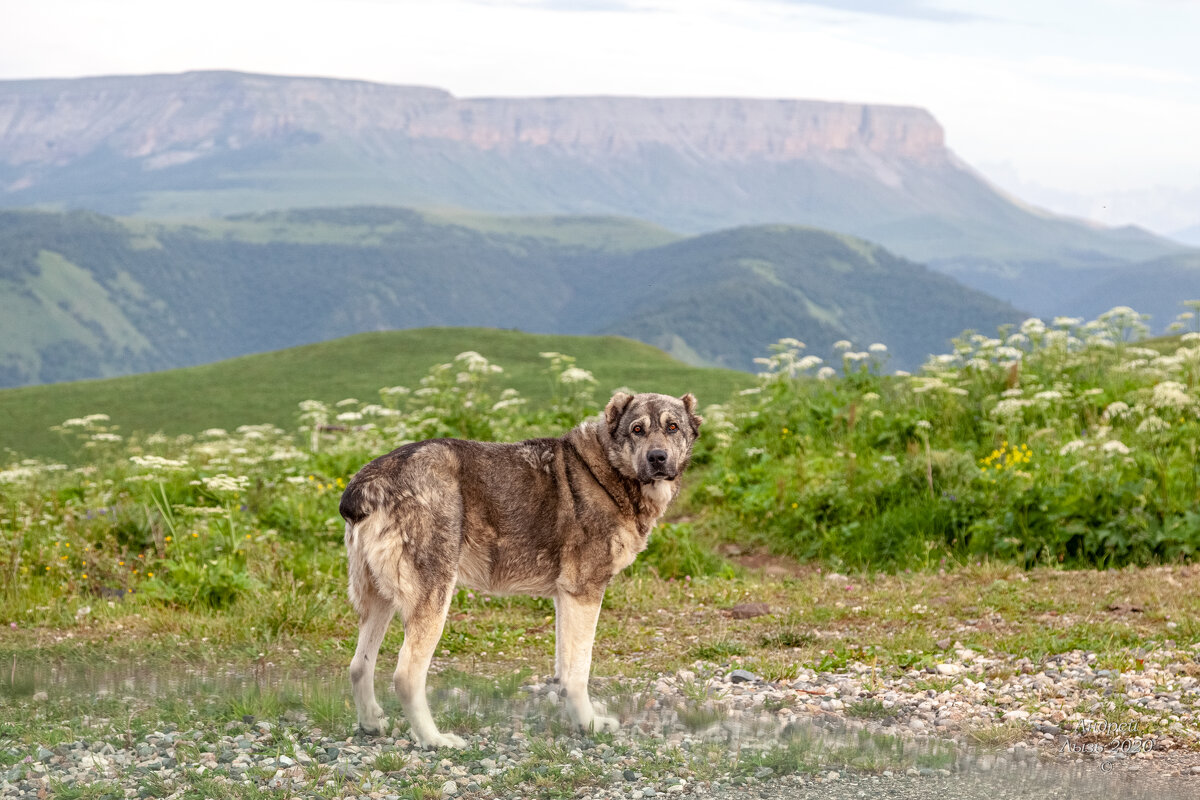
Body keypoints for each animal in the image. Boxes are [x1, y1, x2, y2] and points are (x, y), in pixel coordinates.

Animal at [338, 391, 700, 748]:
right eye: (637, 429)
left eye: (672, 427)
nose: (657, 458)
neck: (607, 473)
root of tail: (366, 486)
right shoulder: (584, 592)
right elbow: (578, 671)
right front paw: (590, 724)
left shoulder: (565, 598)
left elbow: (564, 669)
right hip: (433, 600)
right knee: (405, 676)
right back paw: (435, 740)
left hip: (380, 602)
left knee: (358, 666)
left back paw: (371, 723)